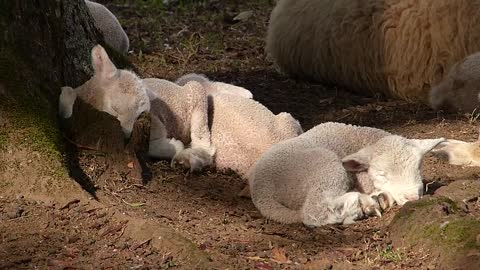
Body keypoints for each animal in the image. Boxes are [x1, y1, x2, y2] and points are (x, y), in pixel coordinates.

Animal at [249, 122, 444, 226]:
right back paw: (365, 204)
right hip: (325, 165)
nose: (412, 198)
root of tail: (261, 188)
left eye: (418, 167)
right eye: (382, 174)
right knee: (314, 211)